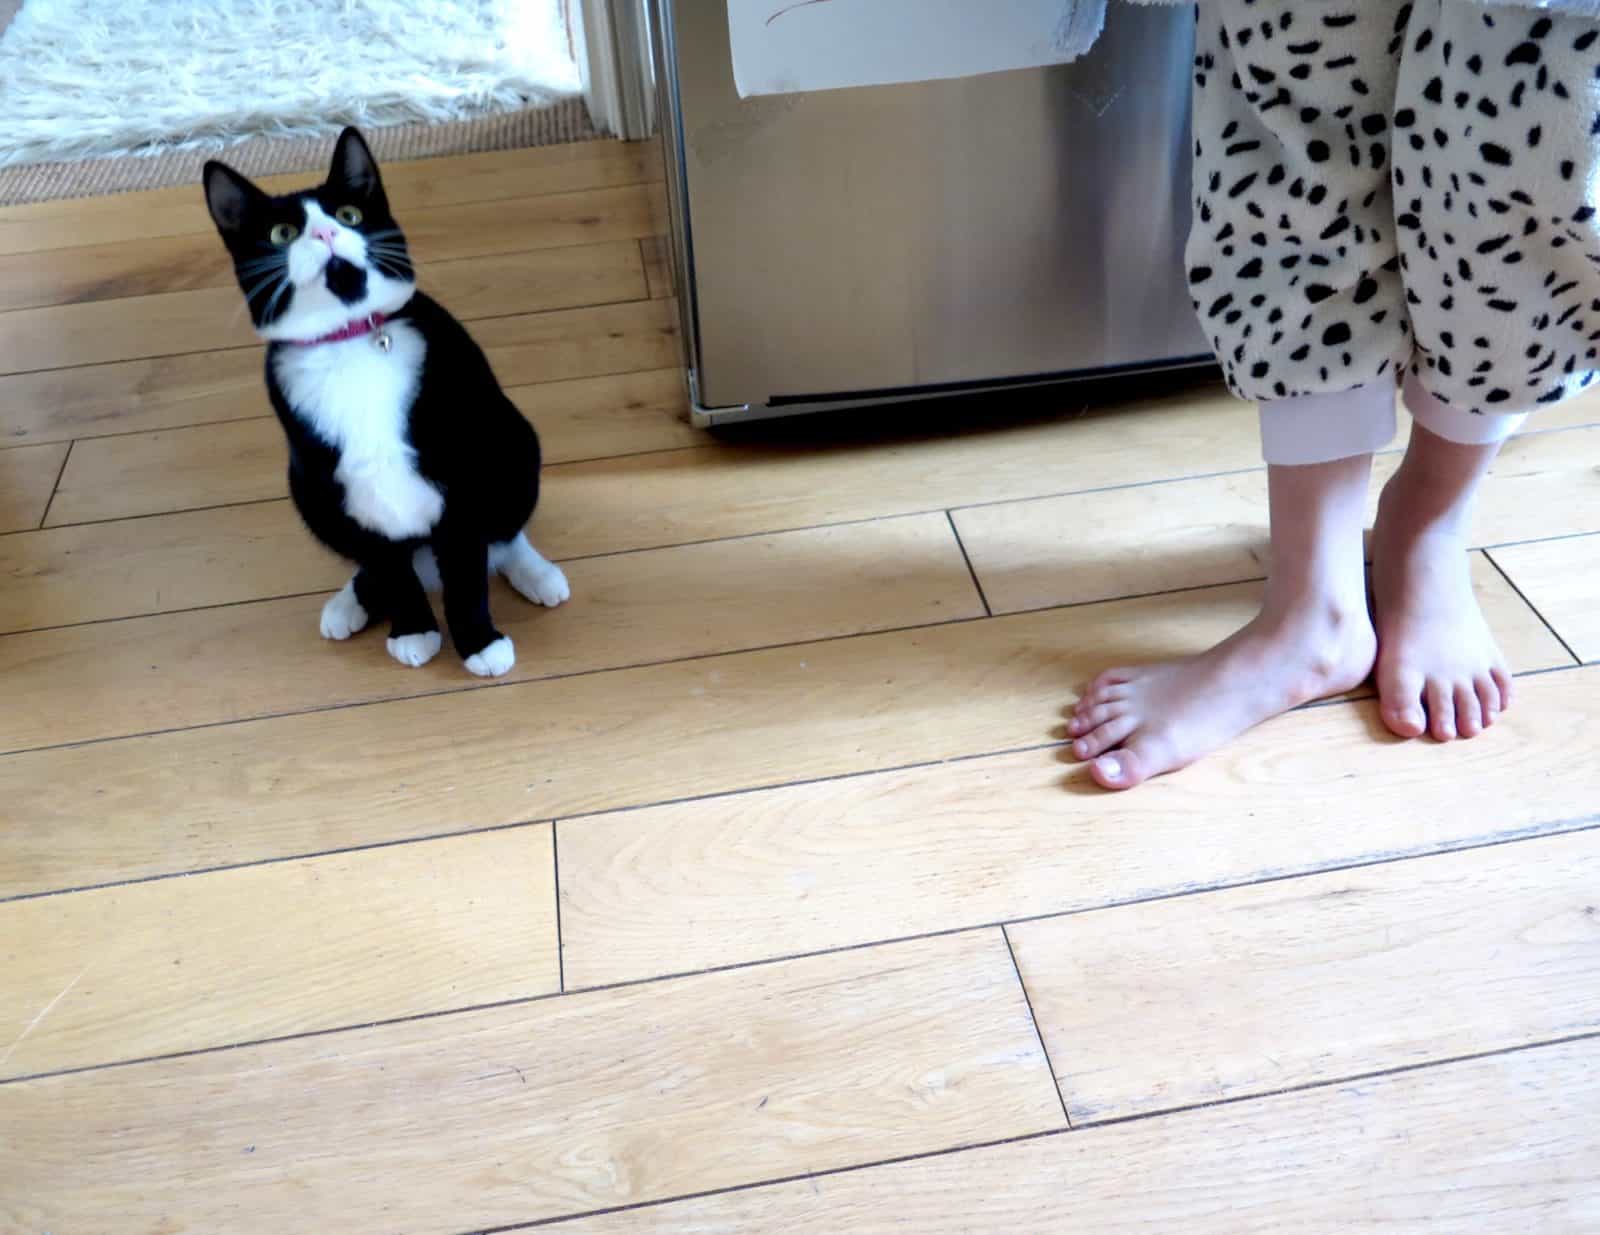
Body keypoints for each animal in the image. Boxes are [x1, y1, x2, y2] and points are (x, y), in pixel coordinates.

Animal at [203, 125, 569, 675]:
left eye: (349, 215)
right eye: (282, 233)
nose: (326, 234)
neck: (351, 341)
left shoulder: (460, 470)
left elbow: (466, 568)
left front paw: (478, 642)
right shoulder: (341, 483)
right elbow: (386, 564)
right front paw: (413, 628)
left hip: (513, 442)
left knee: (504, 530)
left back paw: (535, 572)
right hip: (307, 489)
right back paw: (351, 601)